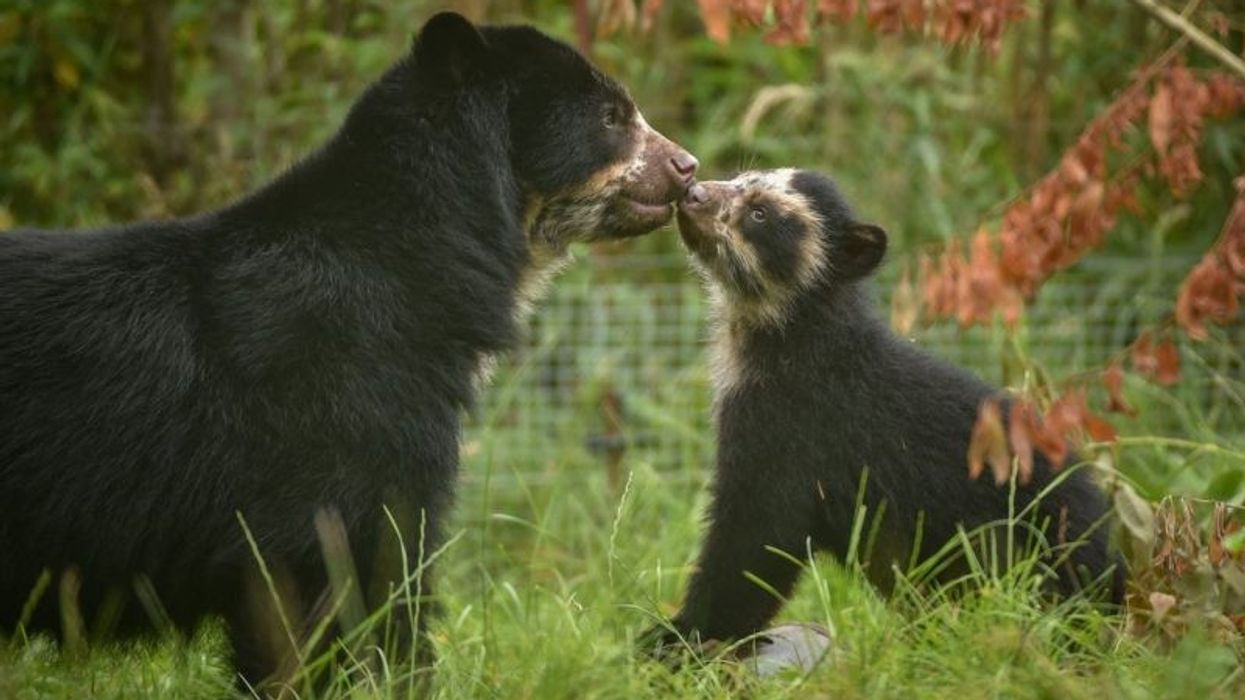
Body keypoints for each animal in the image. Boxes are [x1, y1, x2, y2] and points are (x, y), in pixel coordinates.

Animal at [650, 169, 1122, 650]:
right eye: (739, 177)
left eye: (760, 213)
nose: (691, 192)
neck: (788, 339)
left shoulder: (794, 427)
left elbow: (758, 538)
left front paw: (677, 636)